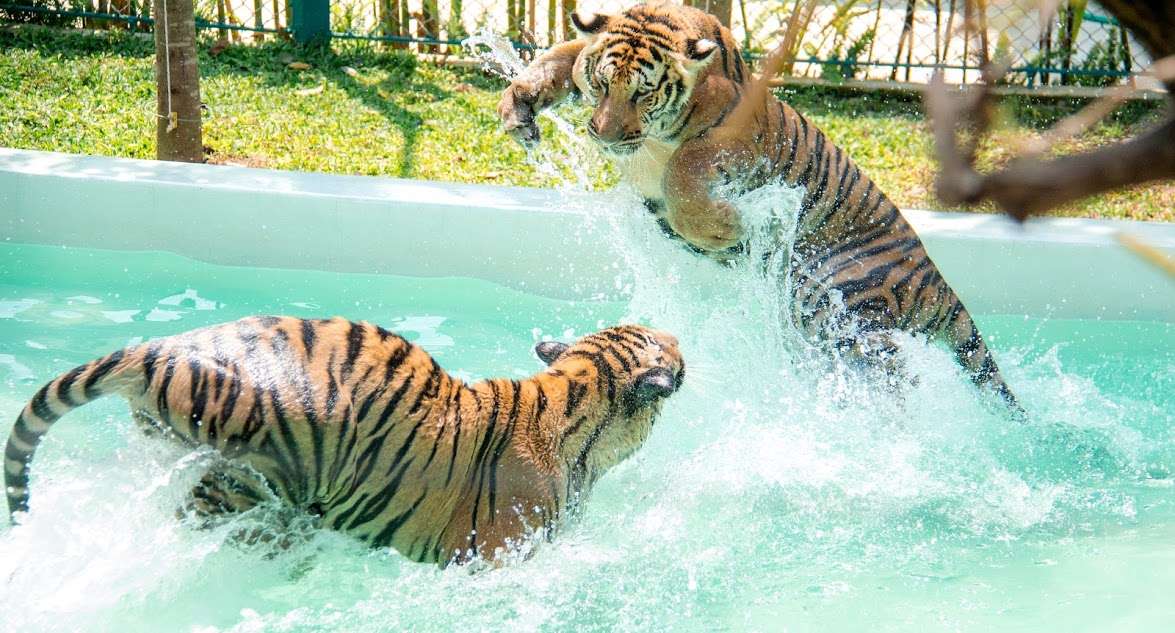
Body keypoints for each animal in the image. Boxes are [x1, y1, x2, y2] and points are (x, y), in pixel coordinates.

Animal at [496, 1, 1021, 412]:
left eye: (643, 93)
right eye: (603, 85)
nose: (603, 136)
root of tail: (934, 274)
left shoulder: (737, 137)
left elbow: (684, 165)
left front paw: (726, 227)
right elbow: (560, 55)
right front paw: (517, 105)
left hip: (842, 302)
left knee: (893, 376)